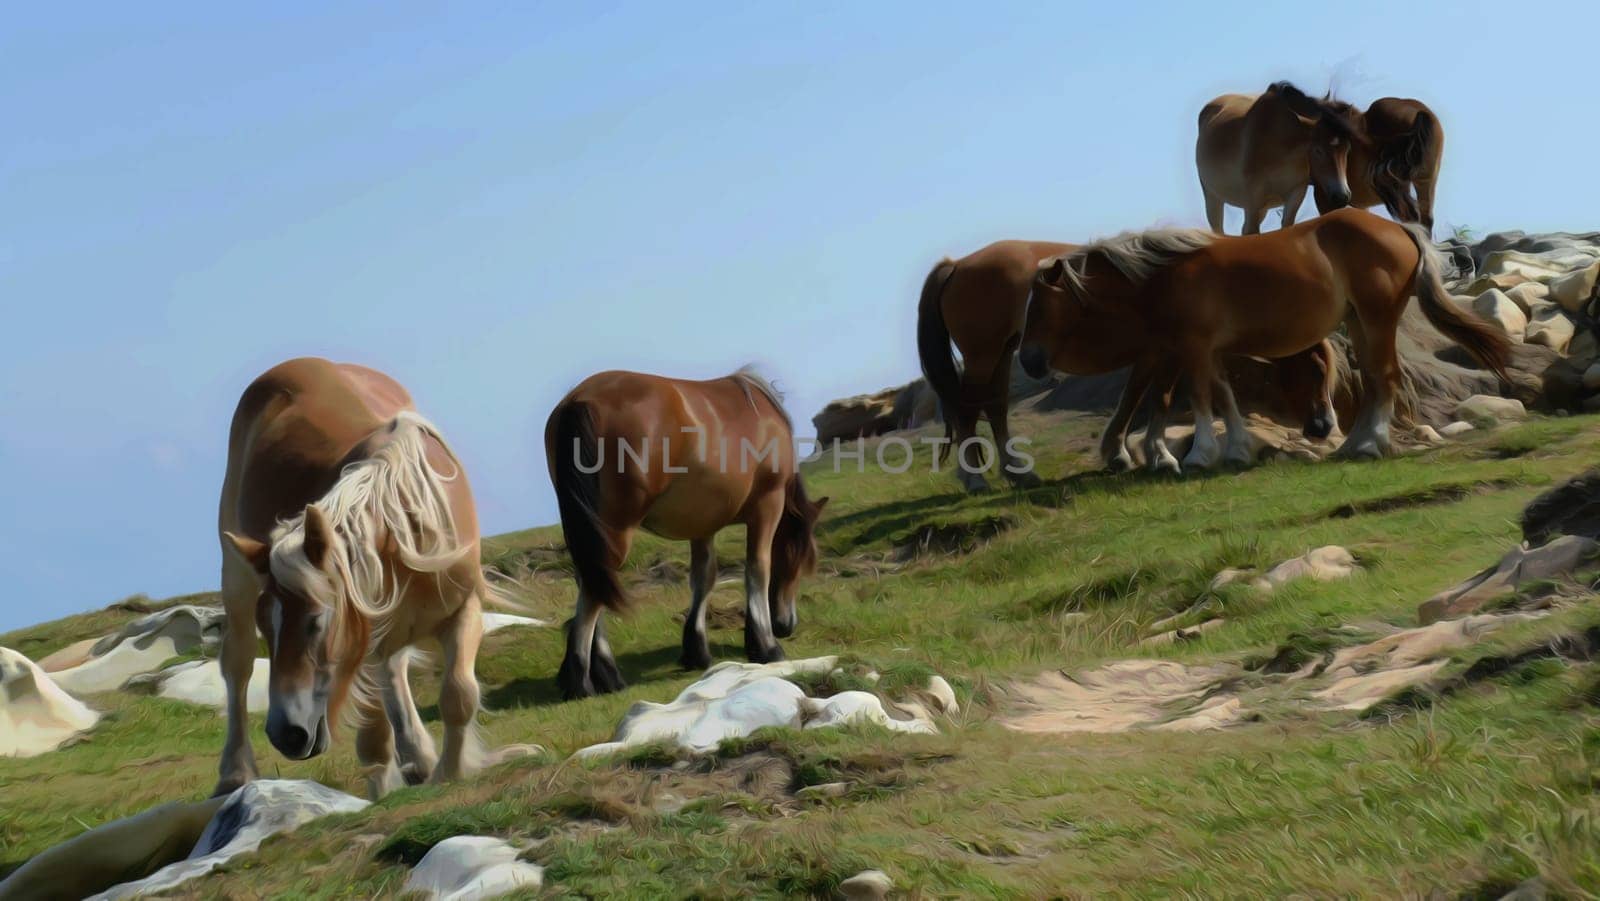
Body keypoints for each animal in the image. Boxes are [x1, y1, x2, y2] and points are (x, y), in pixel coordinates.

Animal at [216, 356, 486, 800]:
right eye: (267, 628)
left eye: (316, 622)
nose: (284, 734)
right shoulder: (365, 641)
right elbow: (374, 735)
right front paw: (383, 791)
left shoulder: (464, 609)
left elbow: (459, 694)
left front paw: (449, 772)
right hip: (236, 578)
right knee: (237, 667)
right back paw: (234, 773)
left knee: (396, 672)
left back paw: (419, 756)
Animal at [547, 366, 832, 697]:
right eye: (800, 562)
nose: (786, 625)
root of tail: (581, 399)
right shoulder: (767, 506)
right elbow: (757, 569)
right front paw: (765, 645)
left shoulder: (703, 523)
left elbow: (704, 578)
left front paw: (696, 650)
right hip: (613, 530)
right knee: (594, 594)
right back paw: (581, 680)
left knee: (592, 582)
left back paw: (604, 673)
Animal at [921, 238, 1344, 480]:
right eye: (1315, 371)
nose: (1323, 426)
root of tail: (956, 264)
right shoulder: (1172, 349)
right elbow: (1155, 397)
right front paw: (1151, 455)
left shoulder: (1175, 350)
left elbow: (1158, 397)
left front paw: (1136, 454)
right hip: (985, 356)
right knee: (968, 410)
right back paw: (974, 477)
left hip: (1000, 356)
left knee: (994, 407)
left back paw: (1018, 473)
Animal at [1024, 206, 1510, 470]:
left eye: (1040, 306)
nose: (1030, 361)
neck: (1166, 273)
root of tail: (1399, 229)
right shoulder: (1203, 350)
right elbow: (1223, 395)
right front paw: (1235, 449)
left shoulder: (1191, 347)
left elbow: (1199, 397)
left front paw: (1199, 455)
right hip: (1358, 322)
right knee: (1374, 379)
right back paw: (1353, 445)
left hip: (1377, 318)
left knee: (1385, 376)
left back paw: (1371, 444)